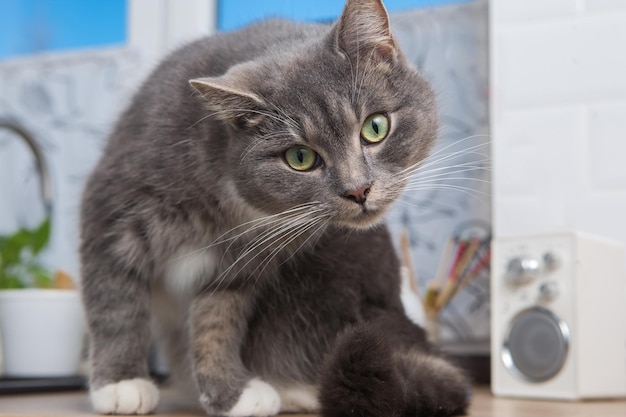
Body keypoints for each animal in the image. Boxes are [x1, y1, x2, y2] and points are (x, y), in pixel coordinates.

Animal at [79, 0, 468, 416]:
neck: (225, 201)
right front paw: (121, 383)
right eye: (300, 157)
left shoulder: (242, 260)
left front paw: (231, 392)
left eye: (375, 127)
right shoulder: (113, 210)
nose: (359, 190)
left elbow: (217, 319)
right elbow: (116, 302)